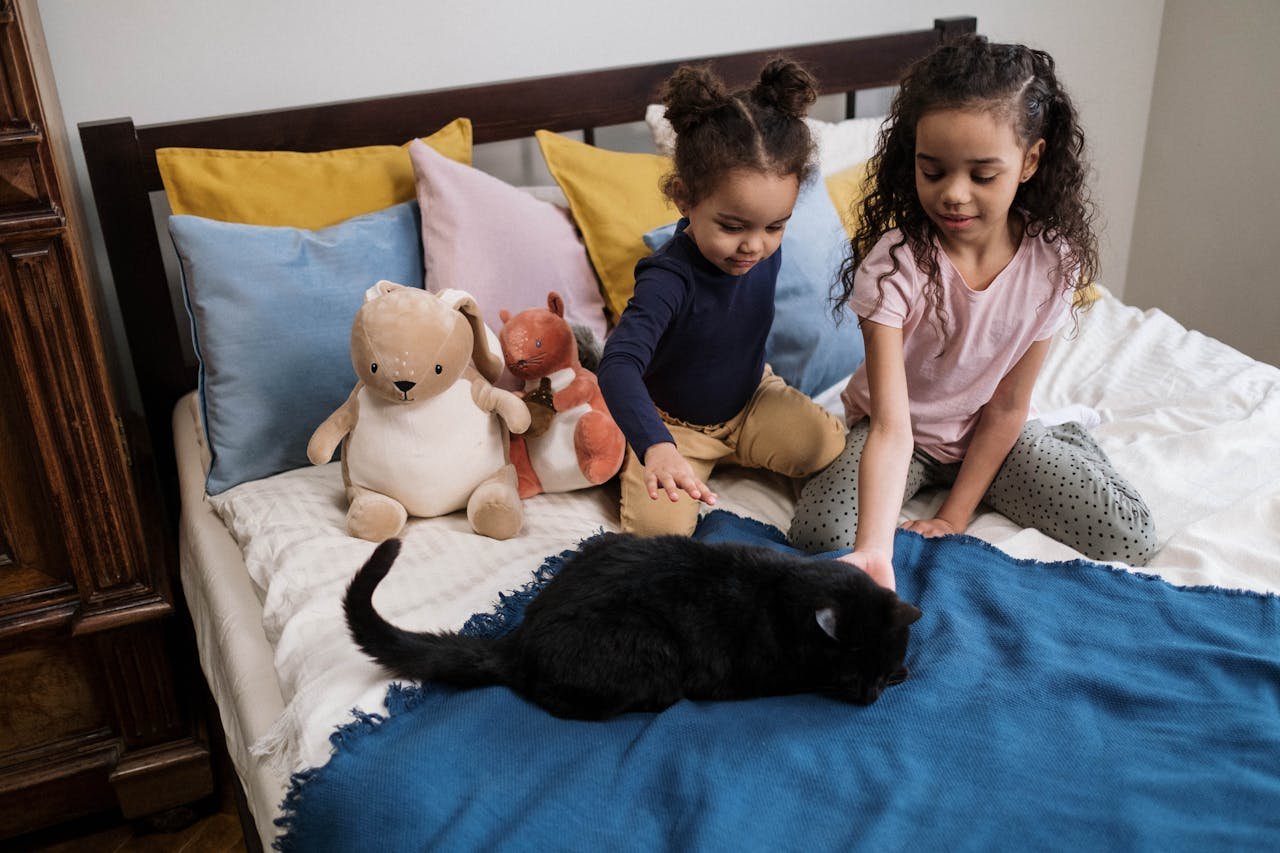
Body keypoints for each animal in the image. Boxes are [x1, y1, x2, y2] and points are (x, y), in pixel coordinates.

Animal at [343, 532, 921, 717]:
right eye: (853, 675)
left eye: (878, 670)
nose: (870, 695)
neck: (789, 590)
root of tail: (520, 637)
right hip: (651, 654)